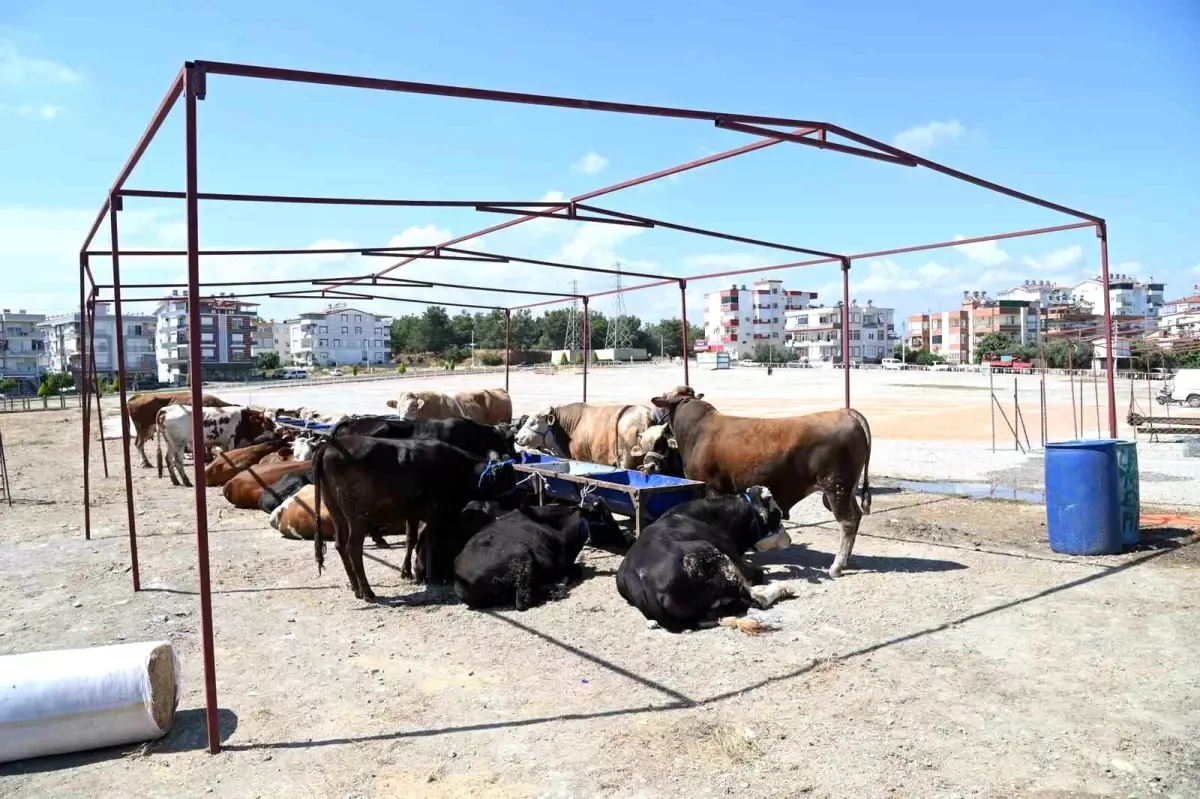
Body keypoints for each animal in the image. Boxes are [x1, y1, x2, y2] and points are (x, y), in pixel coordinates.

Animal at [314, 436, 516, 597]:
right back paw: (367, 592)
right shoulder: (435, 512)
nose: (516, 498)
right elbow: (429, 541)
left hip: (335, 509)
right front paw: (430, 576)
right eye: (508, 477)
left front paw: (406, 572)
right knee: (353, 547)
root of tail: (330, 444)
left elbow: (411, 539)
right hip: (357, 514)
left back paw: (356, 588)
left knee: (340, 544)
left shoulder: (412, 512)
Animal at [451, 494, 619, 607]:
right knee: (524, 601)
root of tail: (461, 582)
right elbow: (576, 569)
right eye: (605, 512)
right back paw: (555, 589)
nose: (621, 536)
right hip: (522, 553)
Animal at [614, 482, 792, 633]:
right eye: (777, 516)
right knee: (756, 599)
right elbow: (759, 573)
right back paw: (784, 587)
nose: (790, 540)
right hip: (720, 562)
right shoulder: (737, 560)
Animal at [657, 393, 873, 575]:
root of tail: (845, 412)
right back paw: (847, 559)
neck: (696, 430)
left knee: (847, 523)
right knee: (856, 516)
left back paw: (837, 565)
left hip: (836, 488)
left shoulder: (712, 487)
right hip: (847, 490)